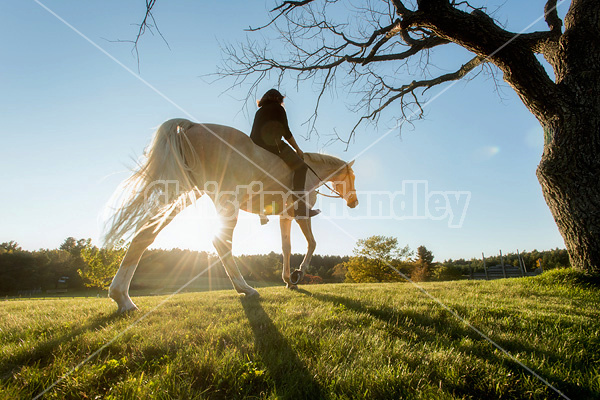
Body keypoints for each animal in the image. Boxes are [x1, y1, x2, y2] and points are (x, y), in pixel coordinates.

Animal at [104, 119, 356, 312]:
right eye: (352, 177)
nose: (355, 202)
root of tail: (191, 126)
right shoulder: (301, 215)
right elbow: (312, 243)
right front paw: (297, 275)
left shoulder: (285, 216)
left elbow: (286, 247)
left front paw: (288, 280)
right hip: (225, 201)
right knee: (220, 242)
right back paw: (245, 288)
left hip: (183, 196)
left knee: (144, 234)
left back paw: (122, 298)